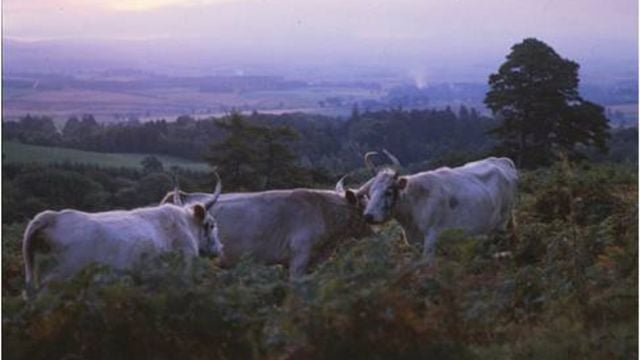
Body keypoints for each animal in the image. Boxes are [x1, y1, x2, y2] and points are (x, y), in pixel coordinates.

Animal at [360, 150, 516, 262]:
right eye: (369, 193)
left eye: (389, 191)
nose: (368, 216)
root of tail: (501, 160)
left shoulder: (431, 238)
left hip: (502, 221)